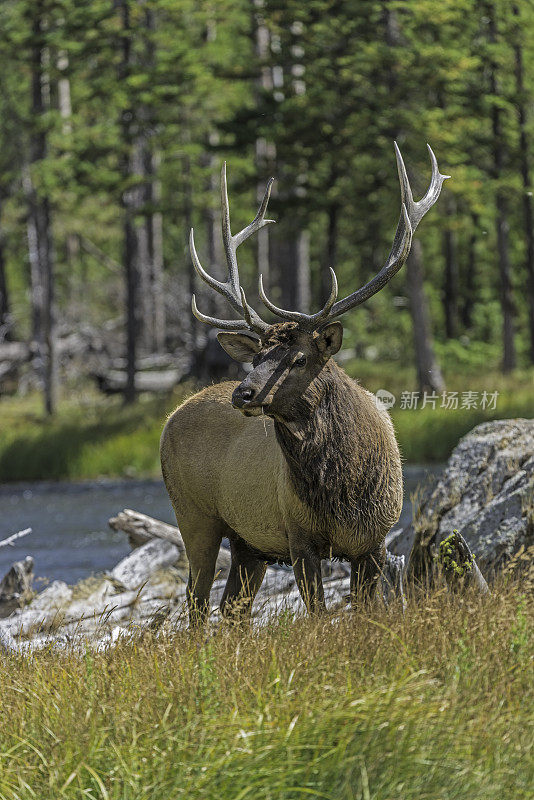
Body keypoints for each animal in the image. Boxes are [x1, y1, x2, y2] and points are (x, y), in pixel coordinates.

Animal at [161, 142, 450, 624]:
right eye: (257, 357)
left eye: (298, 358)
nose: (243, 393)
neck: (342, 491)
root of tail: (170, 417)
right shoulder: (299, 538)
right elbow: (317, 615)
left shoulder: (375, 540)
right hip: (195, 515)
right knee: (197, 604)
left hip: (248, 544)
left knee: (232, 610)